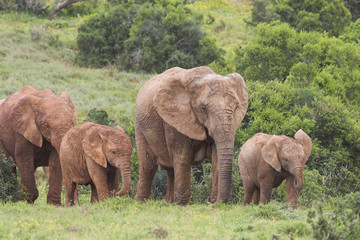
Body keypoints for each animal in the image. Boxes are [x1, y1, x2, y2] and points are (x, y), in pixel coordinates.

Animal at [134, 66, 249, 204]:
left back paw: (169, 202)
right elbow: (182, 156)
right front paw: (182, 204)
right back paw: (141, 202)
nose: (210, 200)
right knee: (148, 166)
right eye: (203, 109)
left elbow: (216, 157)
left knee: (171, 169)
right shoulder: (174, 119)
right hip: (140, 126)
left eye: (236, 107)